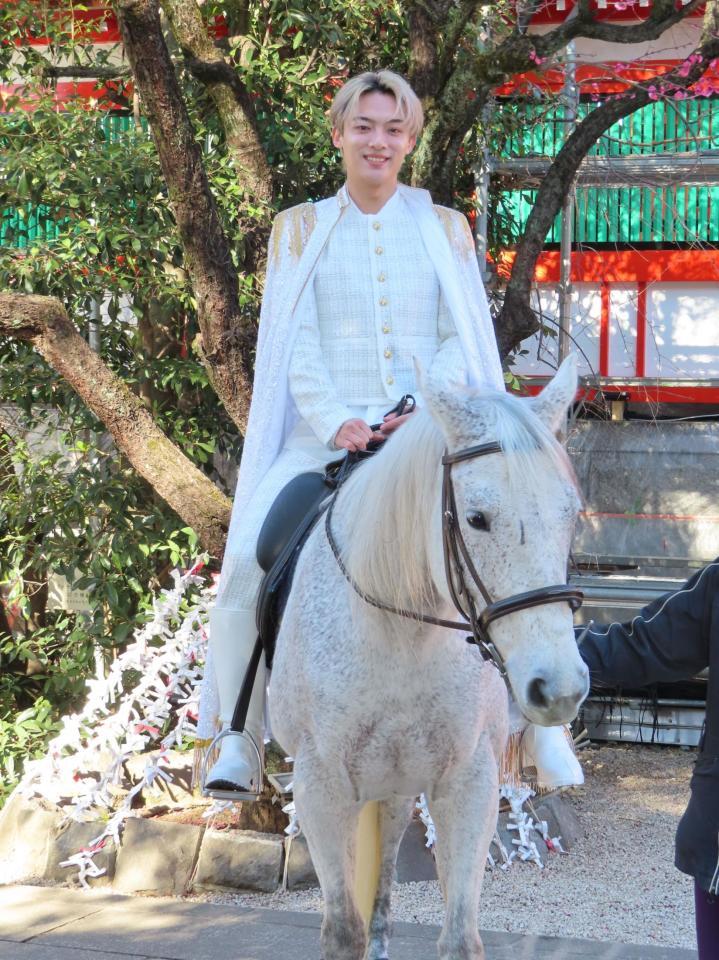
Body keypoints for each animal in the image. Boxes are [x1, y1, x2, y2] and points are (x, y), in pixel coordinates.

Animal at [268, 355, 589, 960]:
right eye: (477, 517)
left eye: (572, 514)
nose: (559, 689)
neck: (401, 634)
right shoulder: (321, 788)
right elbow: (341, 931)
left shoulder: (469, 783)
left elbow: (459, 935)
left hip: (396, 787)